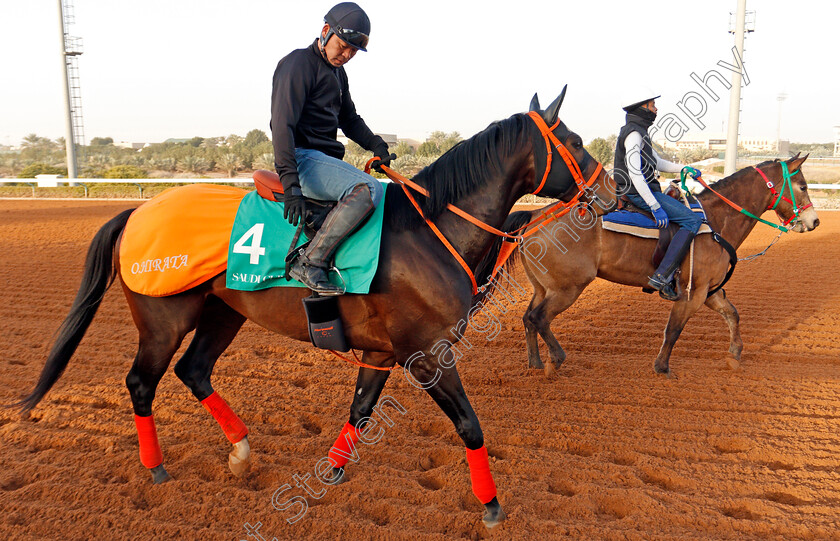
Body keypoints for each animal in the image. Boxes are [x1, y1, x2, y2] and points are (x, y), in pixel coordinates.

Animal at [11, 89, 616, 528]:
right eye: (575, 140)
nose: (611, 189)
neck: (428, 231)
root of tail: (138, 210)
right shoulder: (426, 354)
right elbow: (470, 426)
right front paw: (490, 506)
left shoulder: (381, 354)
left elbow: (360, 412)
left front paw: (330, 474)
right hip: (164, 318)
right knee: (141, 382)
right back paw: (157, 469)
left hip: (223, 312)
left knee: (194, 370)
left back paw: (241, 453)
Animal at [480, 154, 820, 378]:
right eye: (802, 185)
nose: (814, 222)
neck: (714, 221)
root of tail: (534, 217)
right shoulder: (692, 294)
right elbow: (673, 330)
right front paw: (662, 367)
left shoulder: (710, 291)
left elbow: (733, 315)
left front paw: (735, 356)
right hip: (568, 288)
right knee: (539, 318)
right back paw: (555, 361)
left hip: (544, 287)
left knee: (528, 318)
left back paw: (535, 363)